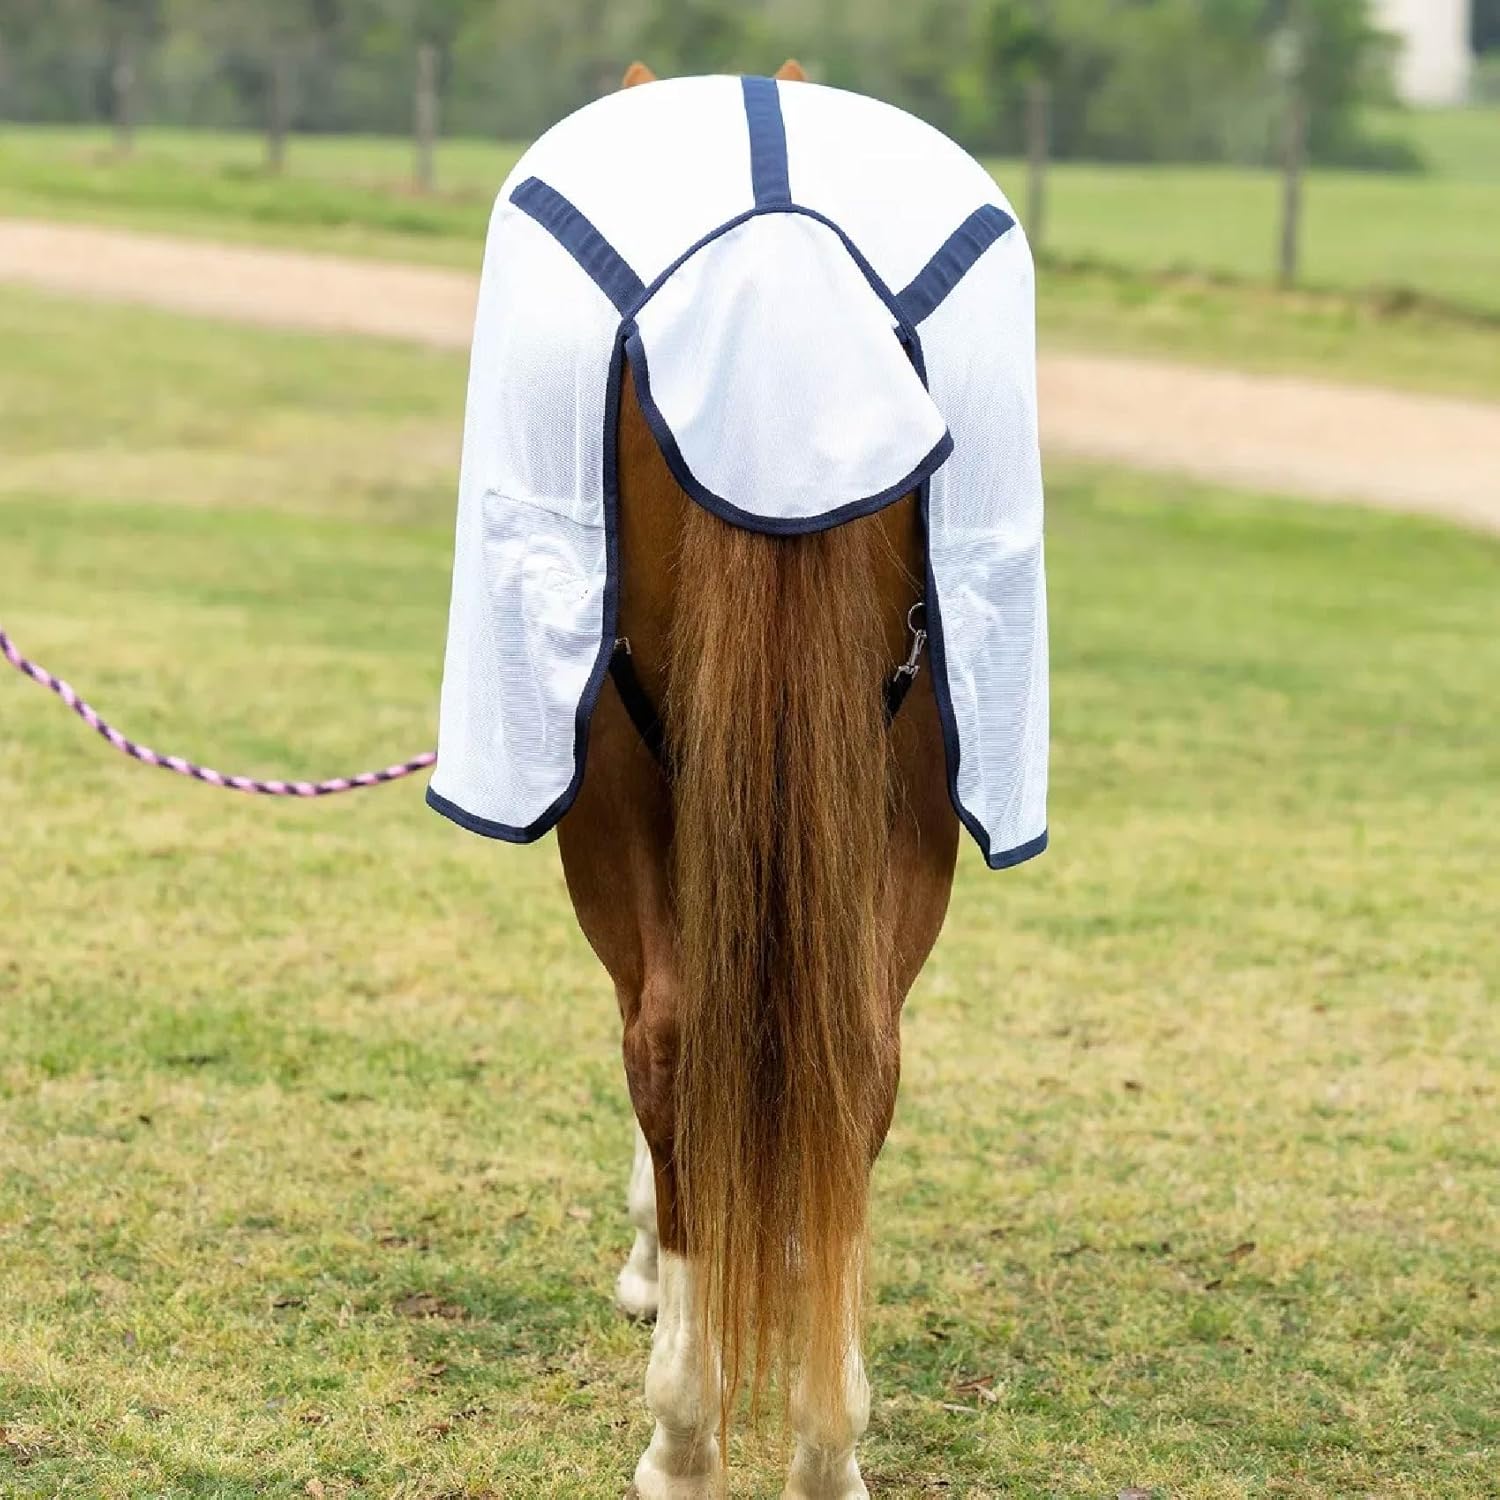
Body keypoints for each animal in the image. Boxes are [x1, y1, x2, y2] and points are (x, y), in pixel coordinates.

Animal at [426, 58, 1048, 1498]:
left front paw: (655, 1268)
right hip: (901, 802)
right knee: (858, 1059)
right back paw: (826, 1445)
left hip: (618, 798)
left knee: (671, 1040)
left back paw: (684, 1436)